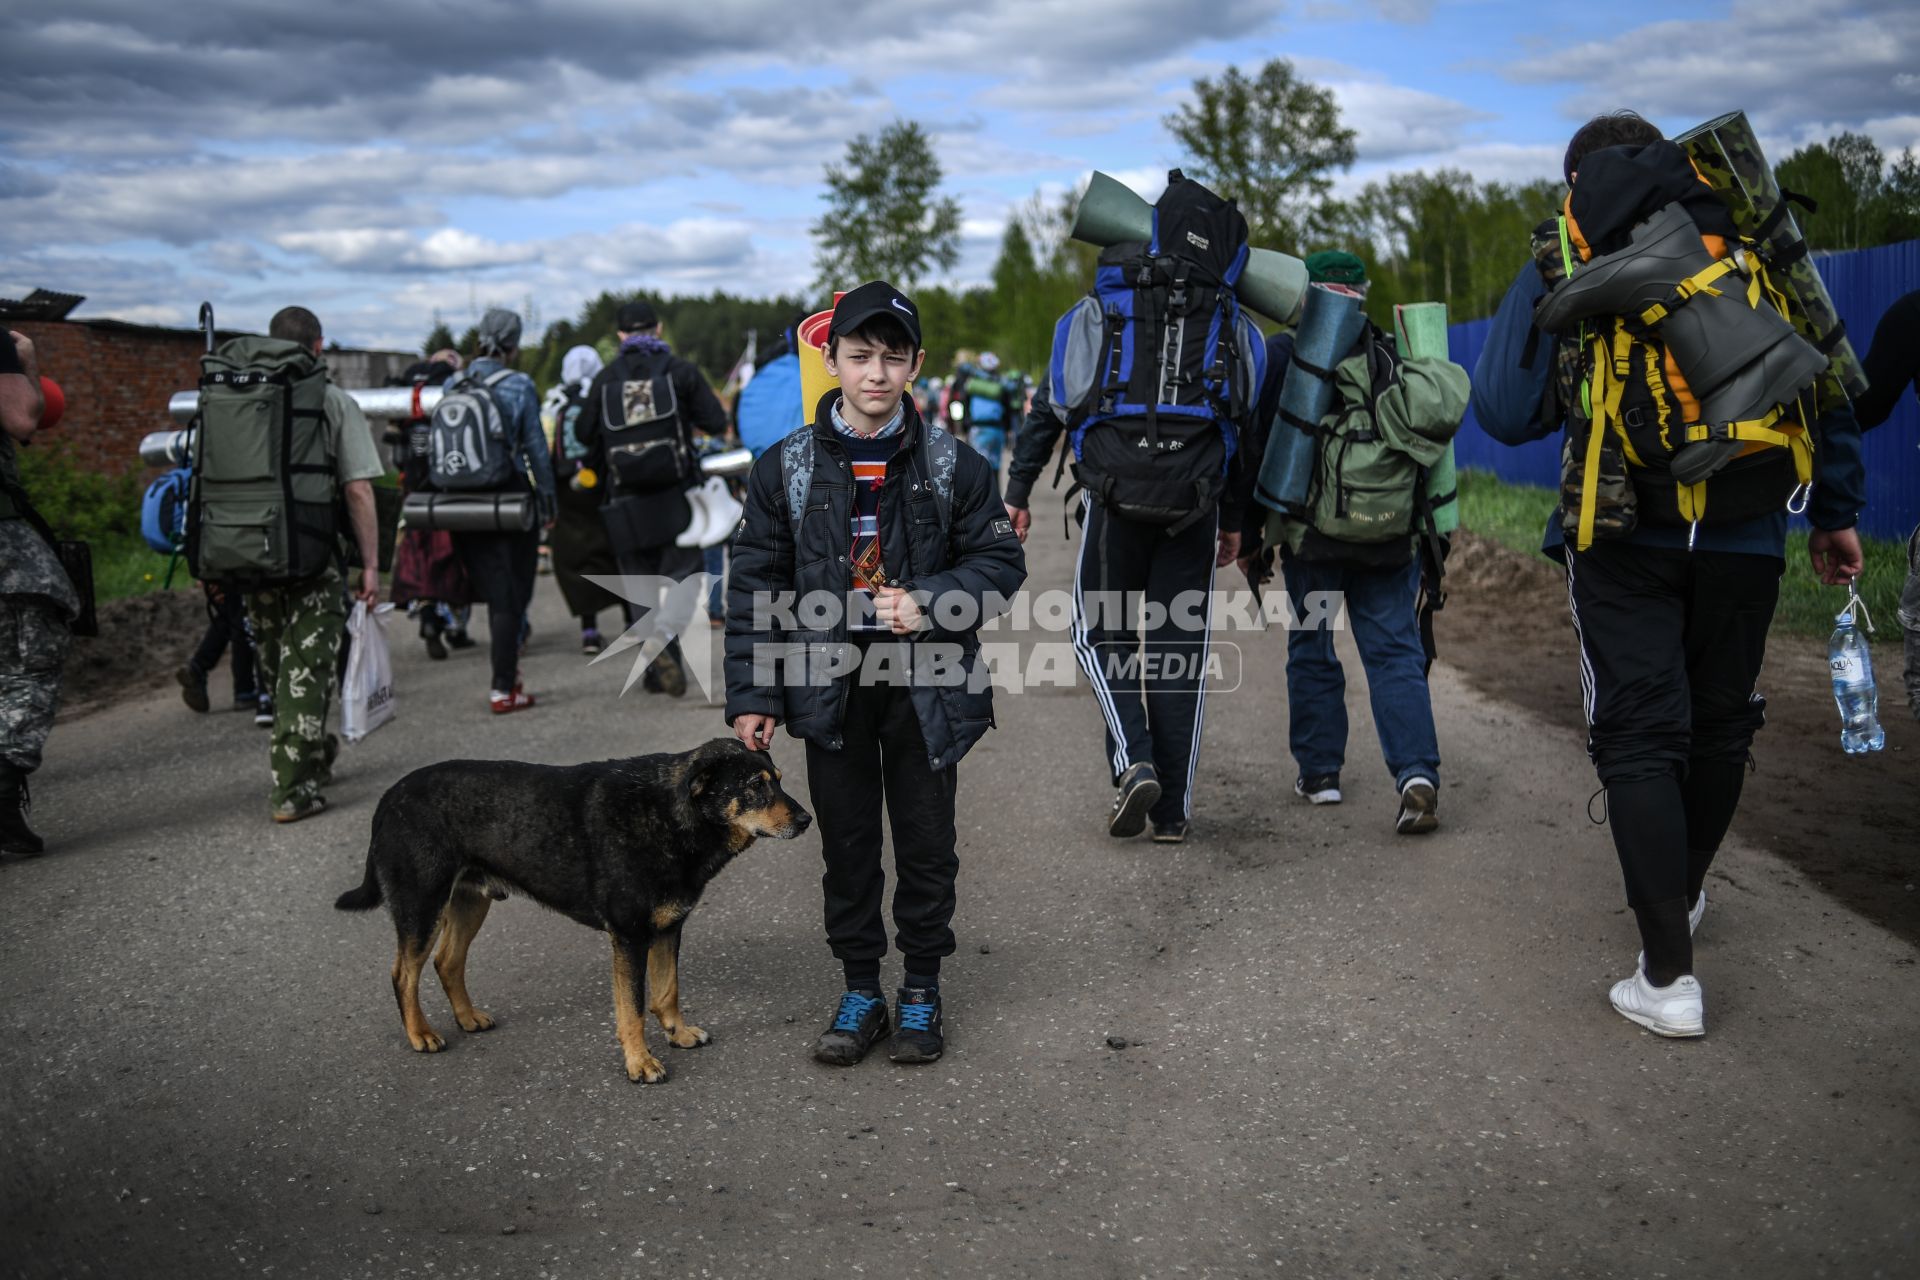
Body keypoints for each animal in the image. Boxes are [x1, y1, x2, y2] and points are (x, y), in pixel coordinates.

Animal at [334, 740, 806, 1082]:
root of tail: (389, 796)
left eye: (779, 780)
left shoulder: (669, 927)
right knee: (404, 973)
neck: (670, 815)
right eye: (756, 785)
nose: (806, 821)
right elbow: (633, 1008)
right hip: (422, 904)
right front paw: (639, 1062)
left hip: (470, 901)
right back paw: (421, 1034)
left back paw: (468, 1018)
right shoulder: (629, 937)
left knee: (447, 961)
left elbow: (666, 991)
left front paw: (679, 1033)